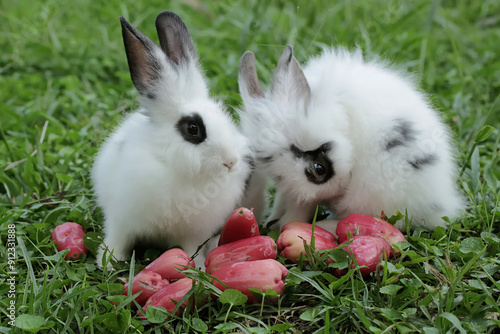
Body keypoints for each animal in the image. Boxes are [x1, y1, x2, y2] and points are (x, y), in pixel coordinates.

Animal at [91, 11, 250, 270]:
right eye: (193, 129)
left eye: (225, 115)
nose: (231, 162)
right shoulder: (121, 220)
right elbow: (118, 239)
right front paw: (109, 262)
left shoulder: (194, 234)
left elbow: (193, 250)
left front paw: (198, 267)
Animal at [238, 45, 464, 232]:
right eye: (277, 176)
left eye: (319, 169)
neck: (340, 118)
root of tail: (442, 204)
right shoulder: (290, 190)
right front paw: (274, 222)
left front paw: (286, 224)